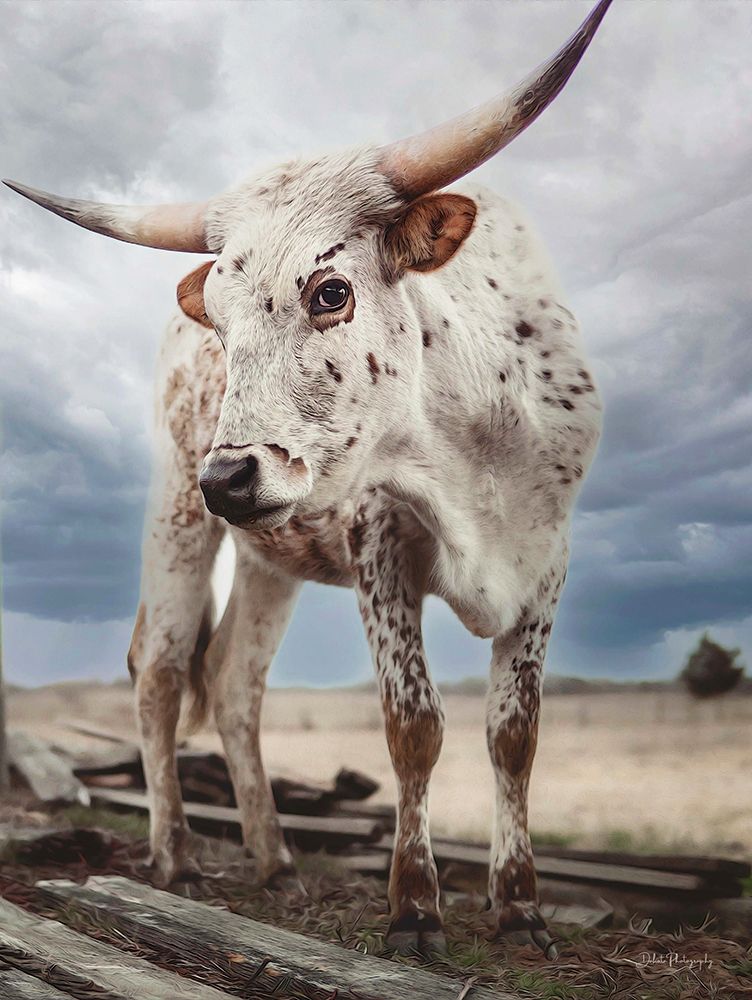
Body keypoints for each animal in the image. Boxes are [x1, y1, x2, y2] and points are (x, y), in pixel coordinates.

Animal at [6, 0, 611, 957]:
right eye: (218, 320)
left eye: (330, 291)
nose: (230, 476)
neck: (475, 438)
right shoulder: (381, 544)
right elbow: (414, 726)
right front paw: (414, 909)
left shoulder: (547, 558)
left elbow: (515, 735)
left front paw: (519, 909)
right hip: (175, 517)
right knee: (162, 669)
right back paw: (176, 857)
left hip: (266, 556)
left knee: (235, 684)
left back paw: (276, 859)